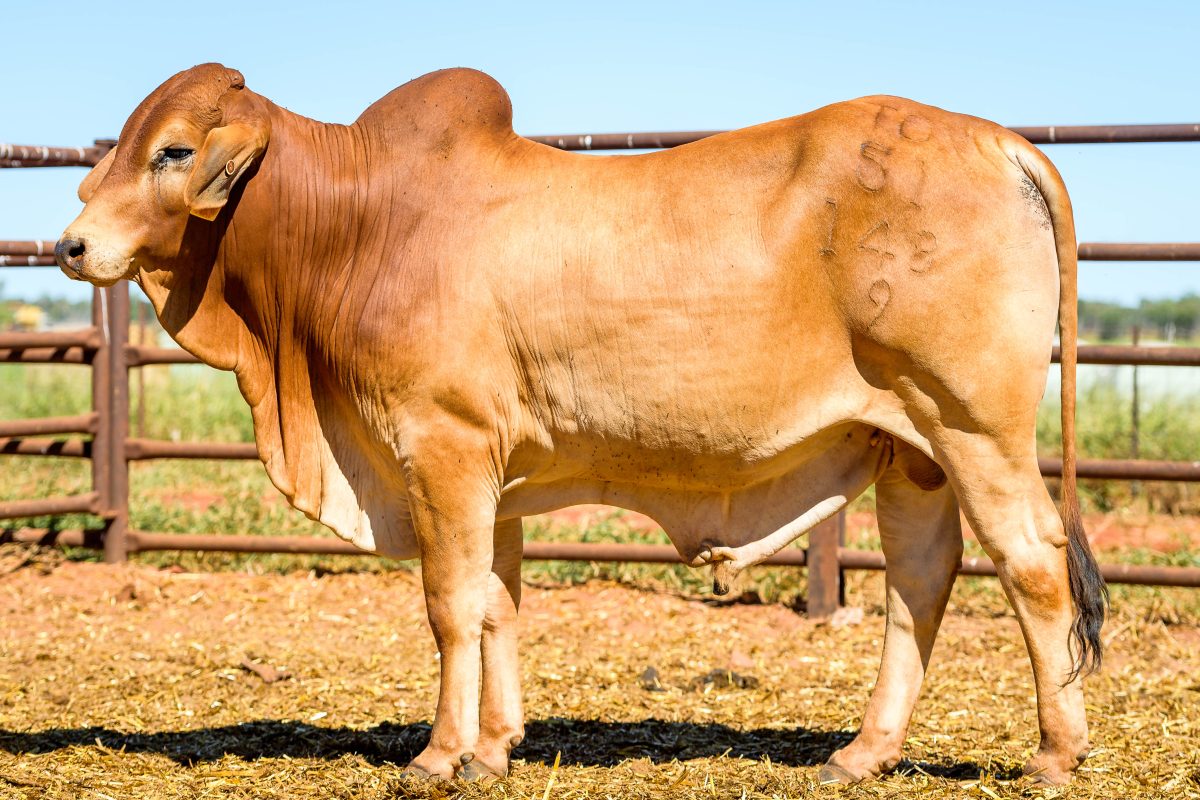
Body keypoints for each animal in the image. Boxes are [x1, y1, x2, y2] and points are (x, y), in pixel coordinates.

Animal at [57, 63, 1106, 786]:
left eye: (174, 151)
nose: (71, 245)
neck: (361, 225)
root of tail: (999, 141)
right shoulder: (495, 474)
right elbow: (497, 604)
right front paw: (493, 747)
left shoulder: (440, 448)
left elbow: (449, 606)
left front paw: (437, 755)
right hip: (910, 449)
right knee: (919, 582)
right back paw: (862, 754)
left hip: (973, 428)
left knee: (1032, 564)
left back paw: (1055, 754)